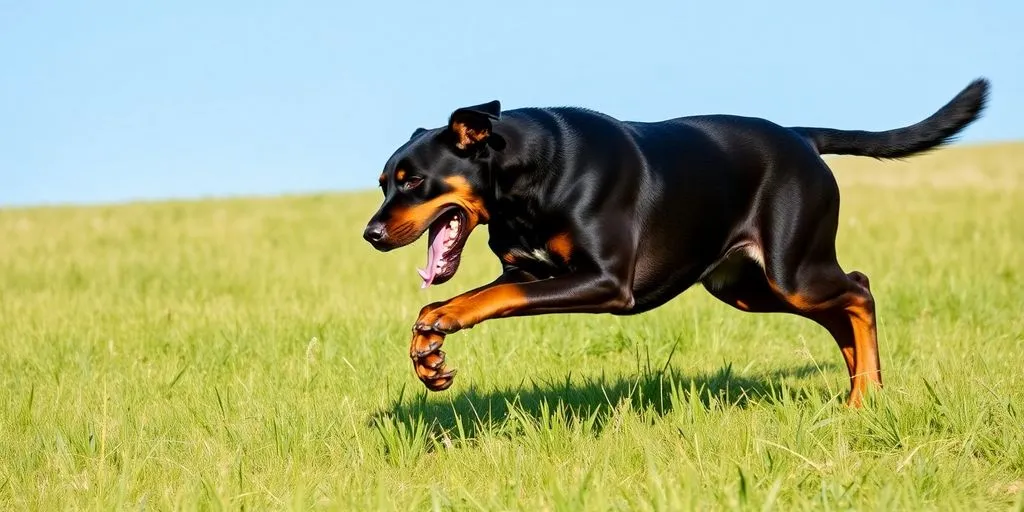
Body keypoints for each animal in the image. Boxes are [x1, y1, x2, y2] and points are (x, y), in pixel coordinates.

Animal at [364, 78, 987, 407]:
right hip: (746, 286)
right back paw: (862, 387)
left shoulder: (604, 282)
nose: (371, 234)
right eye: (383, 181)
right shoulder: (529, 271)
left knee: (859, 291)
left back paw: (866, 396)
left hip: (793, 270)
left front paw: (438, 331)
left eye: (413, 181)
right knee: (842, 311)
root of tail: (802, 138)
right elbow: (464, 295)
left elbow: (488, 300)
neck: (525, 178)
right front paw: (428, 355)